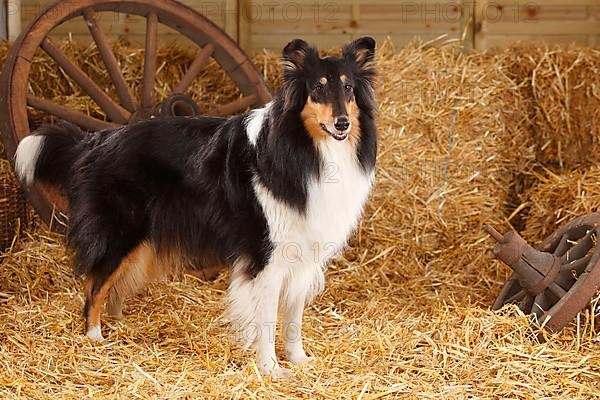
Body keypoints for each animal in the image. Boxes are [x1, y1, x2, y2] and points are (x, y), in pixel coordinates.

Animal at [15, 36, 376, 376]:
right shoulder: (266, 256)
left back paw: (117, 328)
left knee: (111, 287)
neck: (302, 147)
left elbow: (293, 317)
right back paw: (94, 339)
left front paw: (299, 360)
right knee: (94, 287)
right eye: (318, 88)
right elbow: (267, 319)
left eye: (348, 88)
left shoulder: (302, 253)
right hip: (120, 233)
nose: (342, 123)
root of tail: (96, 139)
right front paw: (270, 369)